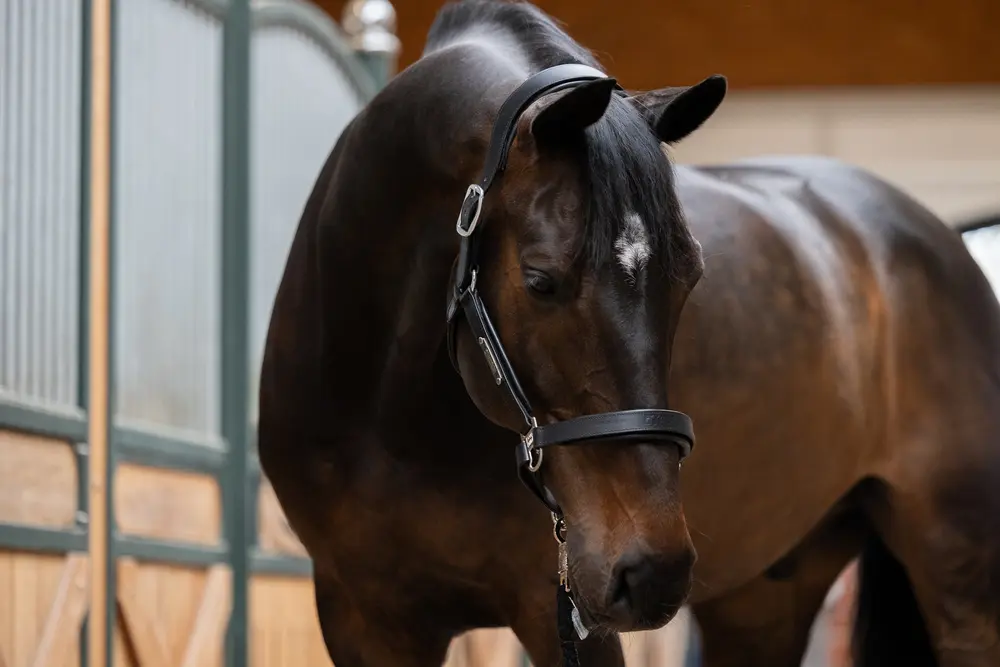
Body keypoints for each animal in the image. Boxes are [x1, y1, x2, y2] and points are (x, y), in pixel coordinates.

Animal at [256, 1, 1000, 666]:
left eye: (690, 276)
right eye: (541, 279)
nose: (652, 571)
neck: (385, 414)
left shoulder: (560, 612)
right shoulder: (363, 616)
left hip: (961, 585)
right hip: (765, 597)